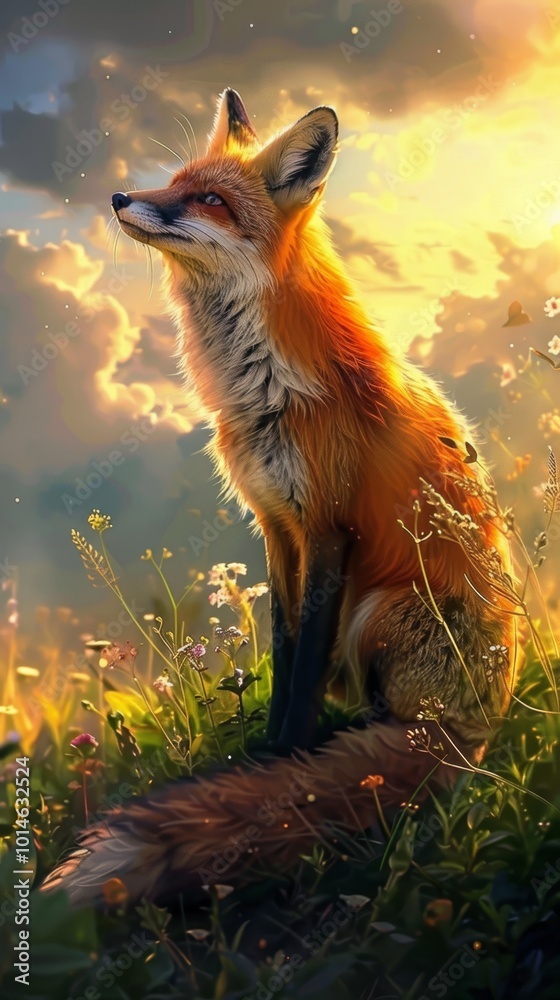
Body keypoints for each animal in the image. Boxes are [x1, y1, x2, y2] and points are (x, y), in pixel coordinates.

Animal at [42, 90, 520, 907]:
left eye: (209, 200)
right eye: (174, 182)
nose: (118, 197)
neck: (259, 389)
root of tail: (472, 726)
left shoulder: (329, 527)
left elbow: (303, 673)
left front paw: (286, 763)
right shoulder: (274, 523)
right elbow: (288, 641)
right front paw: (265, 753)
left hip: (382, 609)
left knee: (385, 726)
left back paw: (347, 753)